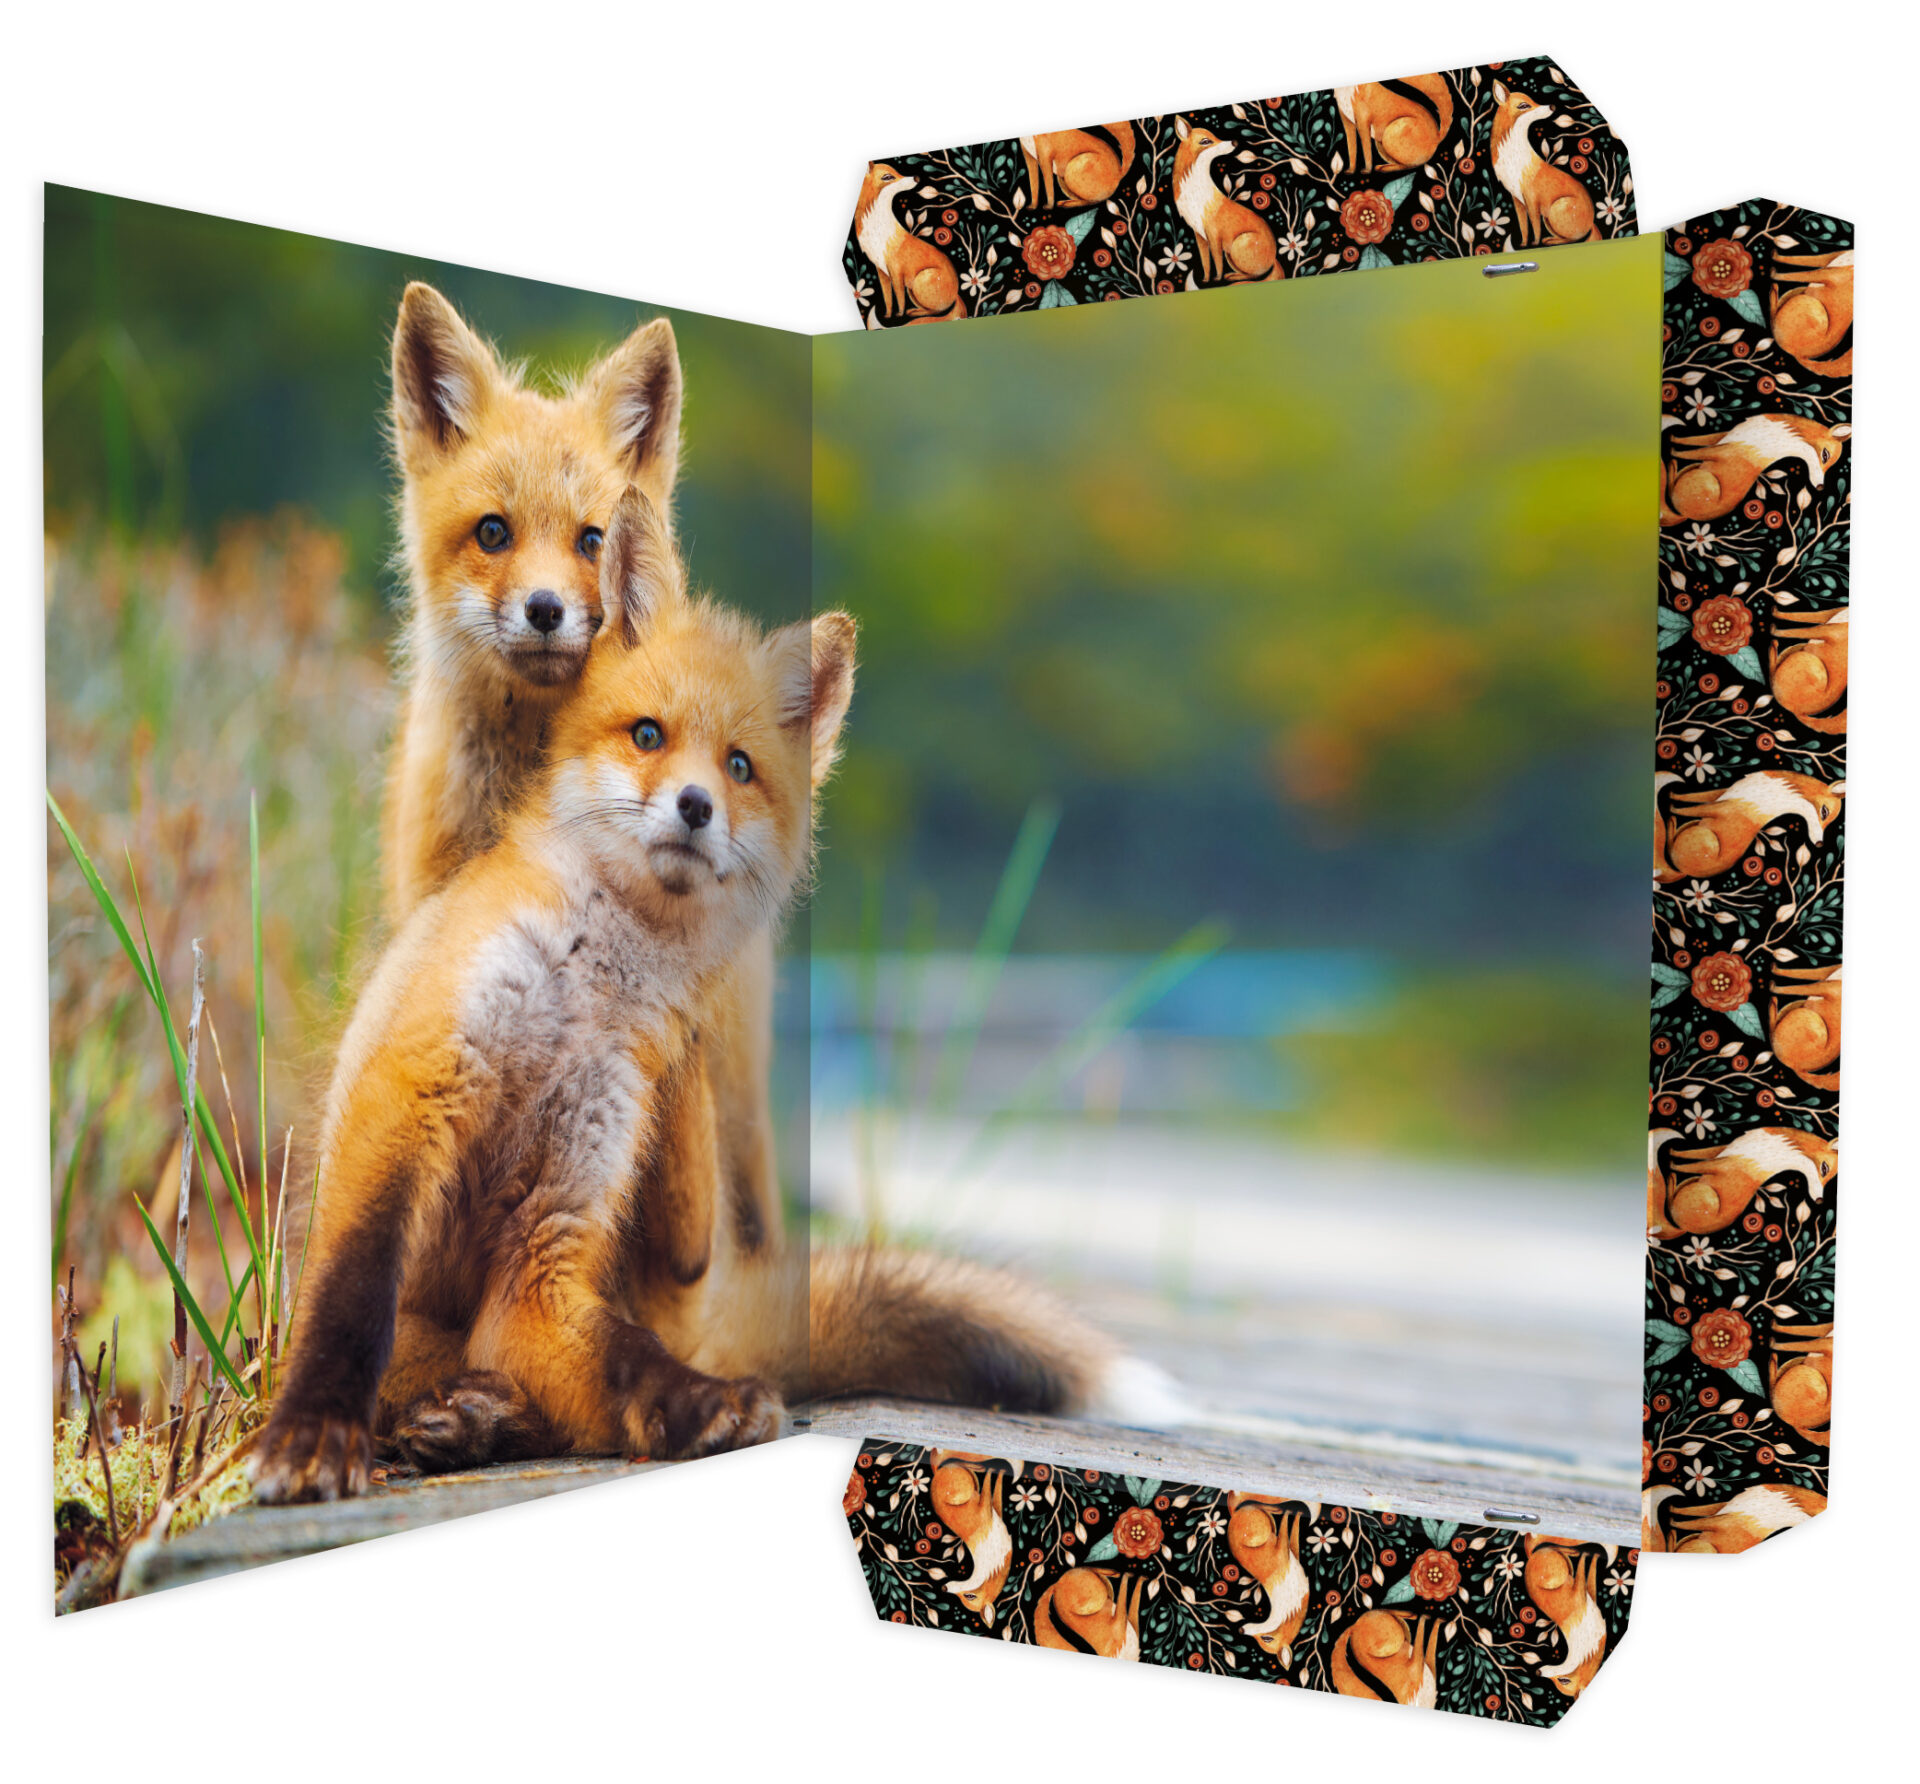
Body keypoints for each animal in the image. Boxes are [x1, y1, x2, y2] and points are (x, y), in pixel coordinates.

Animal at [855, 163, 966, 323]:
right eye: (887, 176)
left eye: (897, 171)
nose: (917, 177)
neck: (879, 229)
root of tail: (957, 293)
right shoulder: (881, 270)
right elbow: (888, 298)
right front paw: (888, 316)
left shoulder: (896, 270)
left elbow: (899, 298)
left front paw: (899, 315)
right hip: (912, 289)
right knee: (933, 310)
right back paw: (914, 312)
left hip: (919, 280)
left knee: (939, 310)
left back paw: (913, 313)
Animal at [1171, 117, 1280, 284]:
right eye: (1205, 141)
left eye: (1215, 136)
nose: (1234, 142)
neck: (1196, 195)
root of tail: (1274, 257)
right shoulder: (1199, 235)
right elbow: (1206, 262)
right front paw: (1206, 280)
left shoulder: (1214, 234)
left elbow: (1217, 261)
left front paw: (1217, 279)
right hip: (1231, 254)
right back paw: (1232, 276)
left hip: (1237, 245)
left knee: (1257, 275)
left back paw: (1232, 277)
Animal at [1488, 83, 1599, 247]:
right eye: (1523, 105)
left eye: (1533, 100)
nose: (1552, 106)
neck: (1514, 159)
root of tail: (1592, 222)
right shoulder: (1517, 199)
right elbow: (1523, 226)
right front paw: (1524, 245)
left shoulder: (1532, 199)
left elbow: (1535, 225)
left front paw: (1535, 244)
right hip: (1548, 219)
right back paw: (1550, 240)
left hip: (1555, 210)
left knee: (1575, 238)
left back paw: (1550, 242)